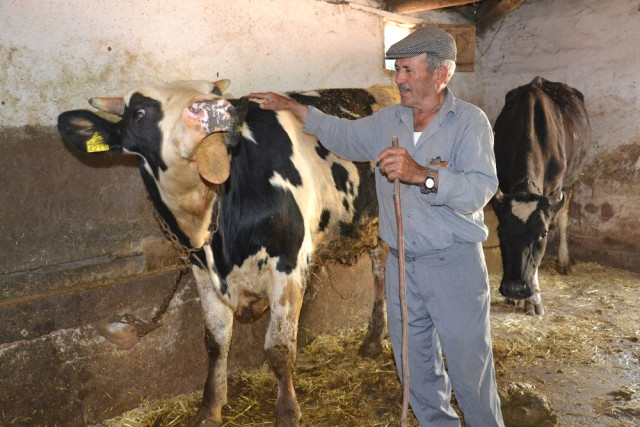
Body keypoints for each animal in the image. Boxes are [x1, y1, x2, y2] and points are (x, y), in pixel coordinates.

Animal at [57, 79, 398, 426]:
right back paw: (373, 340)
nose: (213, 108)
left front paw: (287, 412)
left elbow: (279, 348)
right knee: (380, 268)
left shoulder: (289, 262)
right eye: (139, 114)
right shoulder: (202, 272)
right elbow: (216, 342)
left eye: (215, 93)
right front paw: (210, 408)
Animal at [491, 76, 590, 315]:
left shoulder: (555, 190)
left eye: (543, 234)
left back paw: (563, 261)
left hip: (573, 178)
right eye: (501, 232)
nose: (514, 288)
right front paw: (514, 299)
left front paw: (533, 299)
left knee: (563, 219)